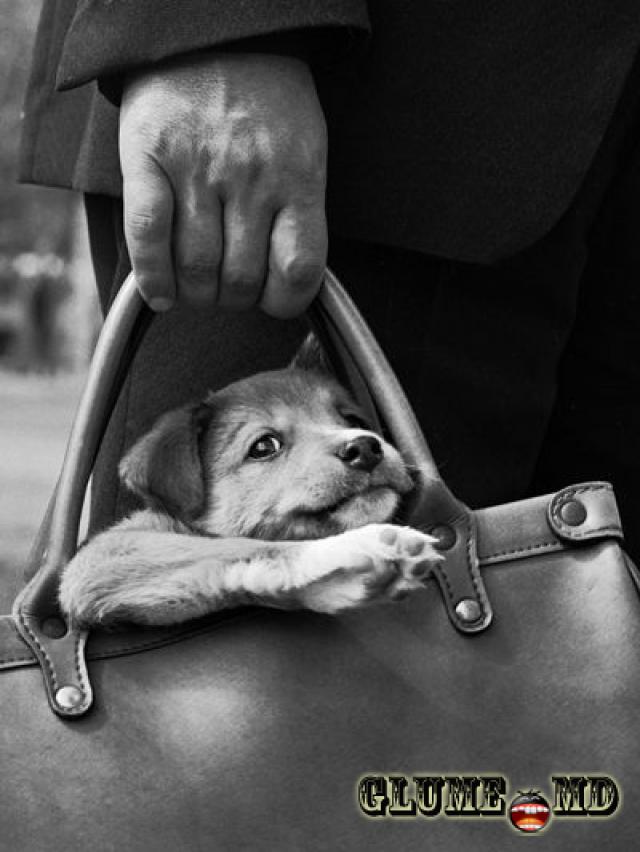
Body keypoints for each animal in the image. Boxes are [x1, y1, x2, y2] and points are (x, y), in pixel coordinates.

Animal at [59, 345, 441, 627]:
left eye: (352, 419)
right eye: (264, 446)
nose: (364, 448)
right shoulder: (102, 558)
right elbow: (245, 547)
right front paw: (359, 549)